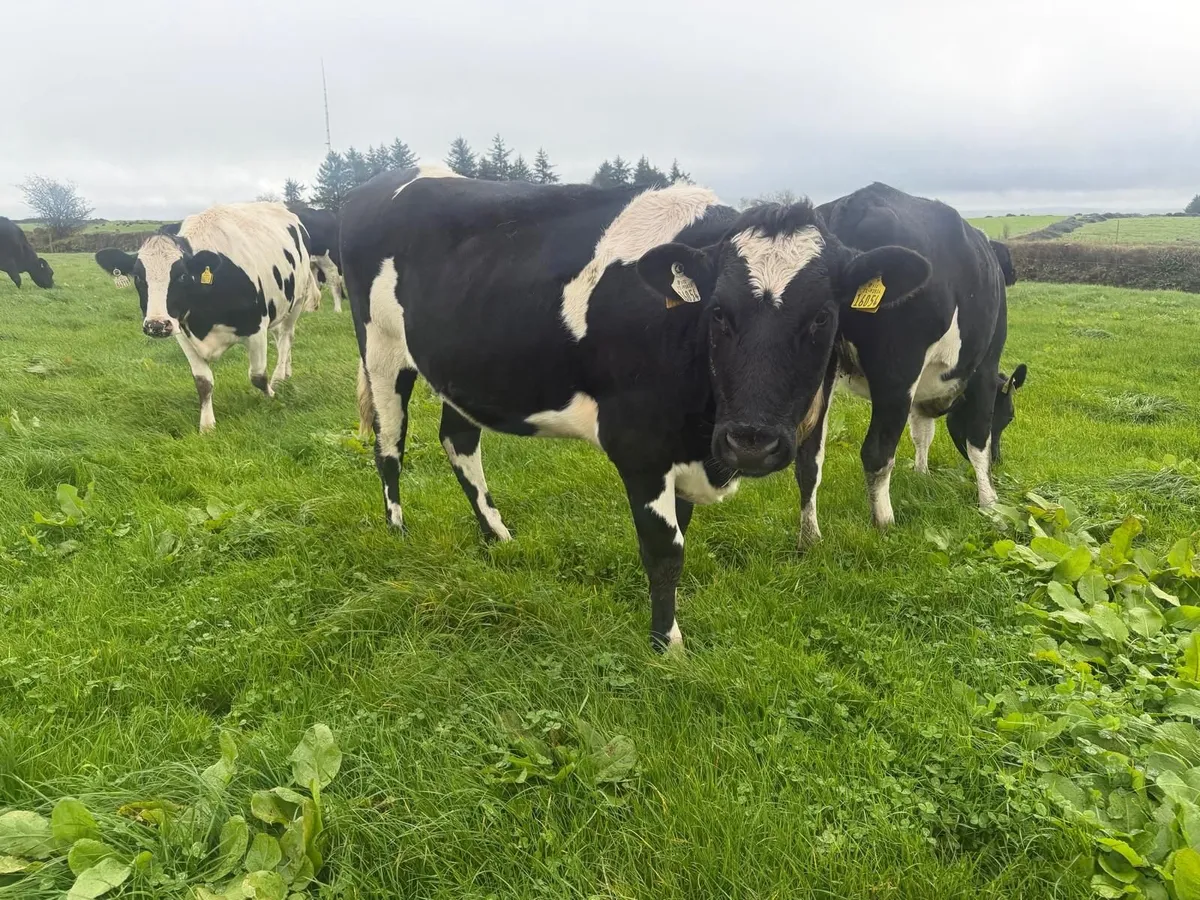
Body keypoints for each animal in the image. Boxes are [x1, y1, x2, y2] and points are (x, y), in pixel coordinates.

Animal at [93, 202, 319, 432]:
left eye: (182, 276)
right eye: (138, 277)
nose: (156, 325)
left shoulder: (256, 328)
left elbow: (257, 376)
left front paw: (272, 397)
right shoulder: (182, 333)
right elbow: (203, 382)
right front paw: (207, 425)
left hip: (297, 299)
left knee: (286, 339)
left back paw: (280, 376)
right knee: (279, 335)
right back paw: (286, 372)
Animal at [341, 167, 931, 650]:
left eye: (821, 318)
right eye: (719, 313)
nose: (751, 442)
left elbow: (682, 532)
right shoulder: (640, 446)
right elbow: (665, 550)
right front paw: (667, 645)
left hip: (461, 370)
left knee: (459, 442)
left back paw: (497, 536)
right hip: (382, 350)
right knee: (390, 446)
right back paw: (398, 530)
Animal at [793, 183, 1028, 548]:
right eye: (1009, 417)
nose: (999, 462)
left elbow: (922, 433)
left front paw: (922, 473)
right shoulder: (985, 369)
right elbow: (977, 437)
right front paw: (989, 501)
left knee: (808, 455)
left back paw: (810, 537)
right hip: (896, 372)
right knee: (876, 452)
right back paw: (885, 523)